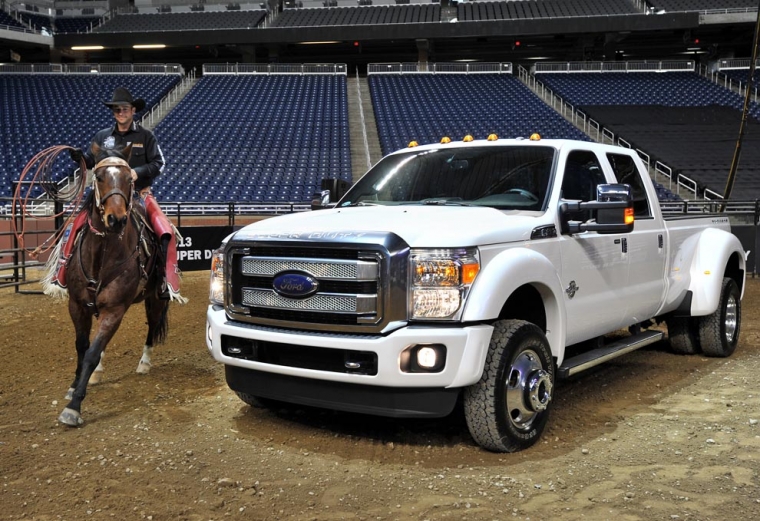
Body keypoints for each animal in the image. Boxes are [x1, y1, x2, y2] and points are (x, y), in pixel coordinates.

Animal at [52, 143, 168, 426]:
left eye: (129, 179)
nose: (116, 219)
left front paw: (73, 407)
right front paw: (75, 384)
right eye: (99, 177)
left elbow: (93, 352)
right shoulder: (77, 305)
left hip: (155, 298)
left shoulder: (115, 310)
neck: (102, 255)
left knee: (152, 326)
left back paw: (144, 363)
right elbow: (83, 347)